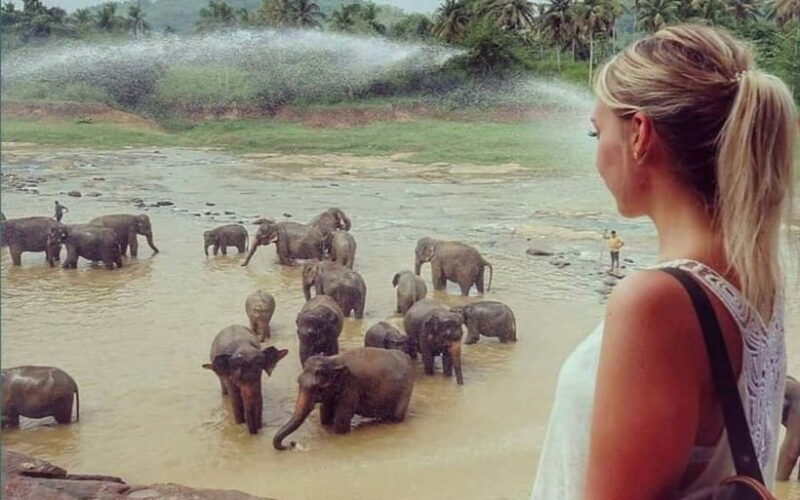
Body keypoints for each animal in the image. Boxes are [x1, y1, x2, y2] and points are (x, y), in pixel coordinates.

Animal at [273, 347, 413, 450]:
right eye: (298, 381)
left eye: (317, 388)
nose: (291, 444)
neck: (333, 361)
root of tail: (407, 358)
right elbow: (325, 416)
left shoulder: (351, 388)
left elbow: (341, 420)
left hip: (406, 389)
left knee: (396, 417)